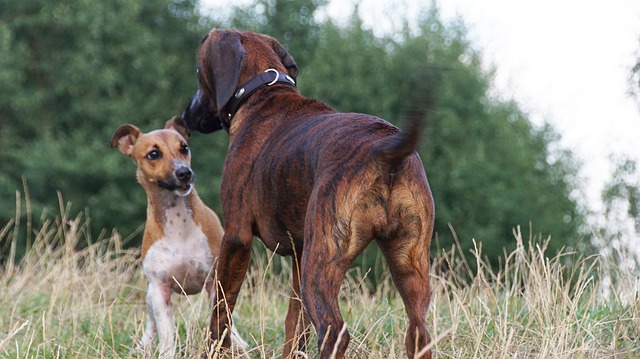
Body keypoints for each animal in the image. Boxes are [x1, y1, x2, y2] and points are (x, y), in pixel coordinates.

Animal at [110, 116, 245, 358]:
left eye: (184, 147)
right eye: (153, 154)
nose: (184, 172)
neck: (178, 225)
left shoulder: (214, 281)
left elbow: (221, 318)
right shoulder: (159, 288)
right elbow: (165, 332)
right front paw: (165, 352)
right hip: (150, 295)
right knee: (151, 323)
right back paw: (143, 346)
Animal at [182, 28, 438, 359]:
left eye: (198, 71)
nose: (187, 115)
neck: (263, 93)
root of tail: (386, 148)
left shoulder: (237, 238)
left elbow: (221, 310)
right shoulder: (299, 256)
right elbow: (294, 324)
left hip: (323, 265)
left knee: (334, 331)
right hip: (409, 267)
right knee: (418, 332)